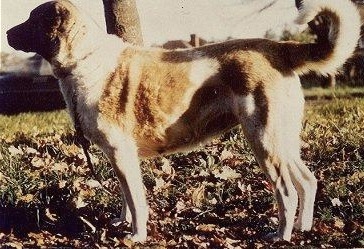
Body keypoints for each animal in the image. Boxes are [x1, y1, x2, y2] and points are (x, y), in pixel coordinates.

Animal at [7, 0, 360, 243]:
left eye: (32, 20)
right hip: (282, 142)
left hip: (264, 141)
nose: (8, 32)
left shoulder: (122, 154)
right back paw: (304, 228)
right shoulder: (120, 158)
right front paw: (122, 224)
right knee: (308, 181)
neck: (85, 59)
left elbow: (136, 200)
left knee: (286, 190)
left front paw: (136, 237)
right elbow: (125, 197)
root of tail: (279, 48)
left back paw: (281, 235)